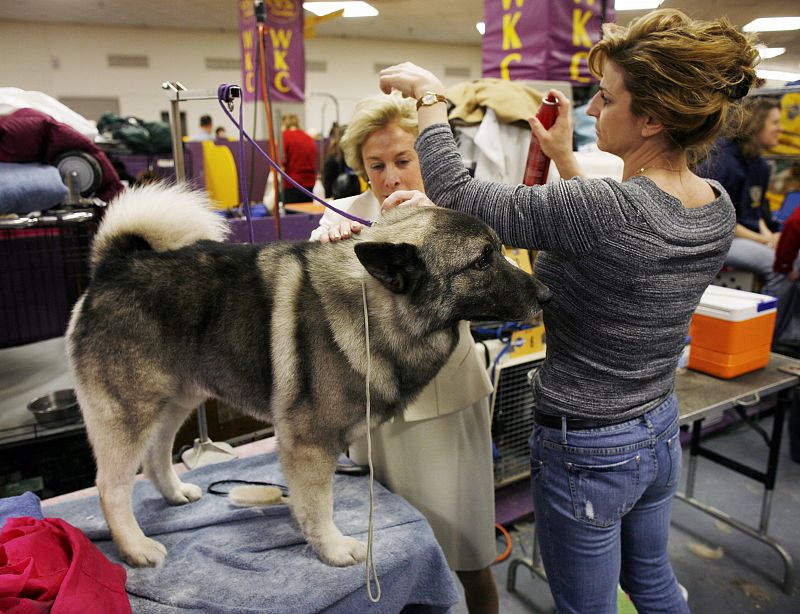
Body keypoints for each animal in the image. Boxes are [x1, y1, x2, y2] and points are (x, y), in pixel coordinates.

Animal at [67, 183, 552, 568]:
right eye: (482, 261)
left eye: (499, 250)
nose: (546, 294)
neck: (374, 306)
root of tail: (112, 266)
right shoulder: (309, 442)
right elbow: (318, 506)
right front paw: (333, 549)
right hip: (130, 412)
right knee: (111, 488)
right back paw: (135, 548)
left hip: (175, 398)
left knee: (155, 456)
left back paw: (174, 494)